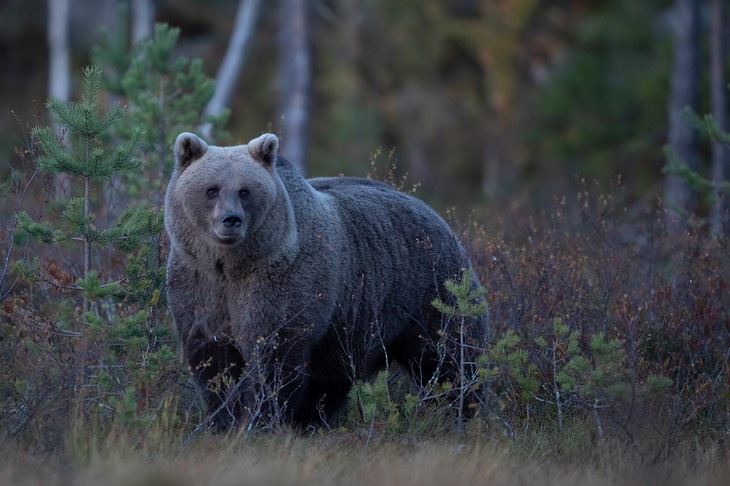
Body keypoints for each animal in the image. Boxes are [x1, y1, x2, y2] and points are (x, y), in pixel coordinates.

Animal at [162, 132, 486, 430]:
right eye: (212, 189)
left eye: (244, 191)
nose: (231, 220)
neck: (231, 265)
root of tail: (434, 213)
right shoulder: (198, 284)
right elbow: (214, 359)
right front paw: (224, 419)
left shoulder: (280, 286)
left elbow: (273, 357)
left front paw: (260, 418)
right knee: (331, 380)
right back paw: (310, 421)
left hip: (430, 291)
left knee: (451, 357)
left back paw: (466, 414)